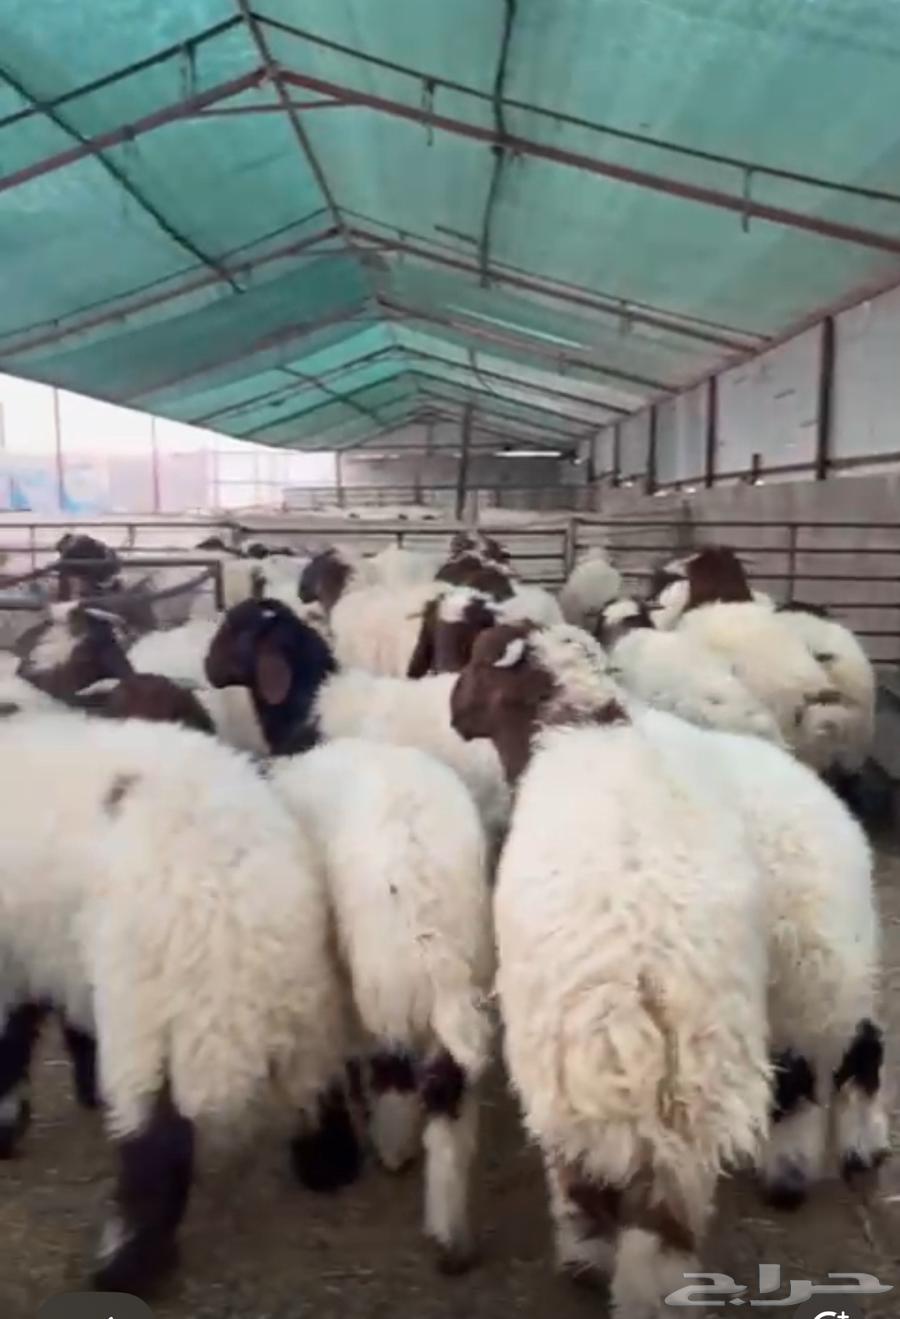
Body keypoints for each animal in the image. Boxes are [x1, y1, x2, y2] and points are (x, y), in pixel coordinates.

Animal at [0, 710, 354, 1295]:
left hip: (149, 1005)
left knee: (154, 1142)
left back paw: (124, 1267)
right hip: (303, 993)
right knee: (320, 1083)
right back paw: (328, 1167)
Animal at [272, 738, 493, 1271]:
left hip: (379, 974)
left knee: (393, 1062)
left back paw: (392, 1147)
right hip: (464, 963)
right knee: (448, 1092)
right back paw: (451, 1236)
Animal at [449, 621, 771, 1314]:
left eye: (479, 659)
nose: (452, 714)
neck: (584, 724)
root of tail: (652, 972)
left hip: (573, 1072)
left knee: (583, 1181)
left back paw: (583, 1261)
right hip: (695, 1094)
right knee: (665, 1236)